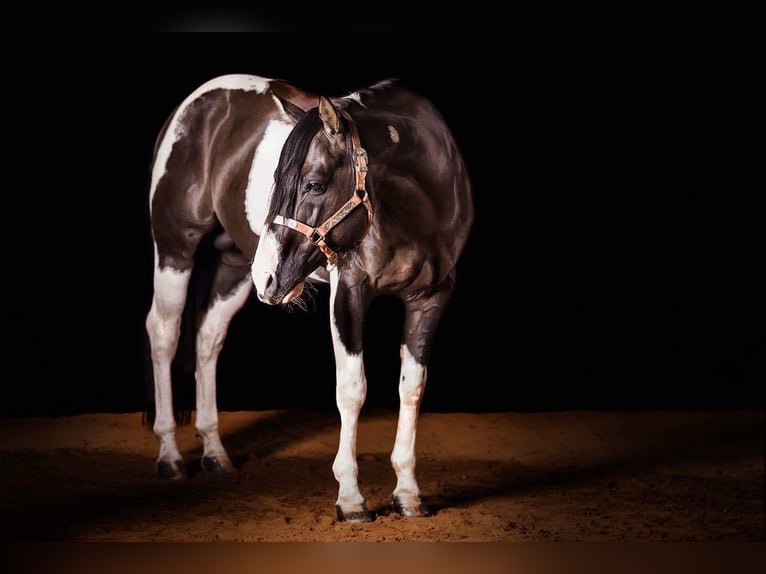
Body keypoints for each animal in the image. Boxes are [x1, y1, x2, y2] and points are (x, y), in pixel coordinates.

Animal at [145, 74, 474, 522]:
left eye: (314, 184)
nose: (268, 276)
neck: (418, 208)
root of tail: (195, 103)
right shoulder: (349, 292)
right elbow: (352, 389)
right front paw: (351, 499)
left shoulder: (431, 299)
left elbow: (412, 387)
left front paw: (408, 494)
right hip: (175, 249)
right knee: (164, 333)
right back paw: (170, 456)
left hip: (235, 265)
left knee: (208, 338)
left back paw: (214, 451)